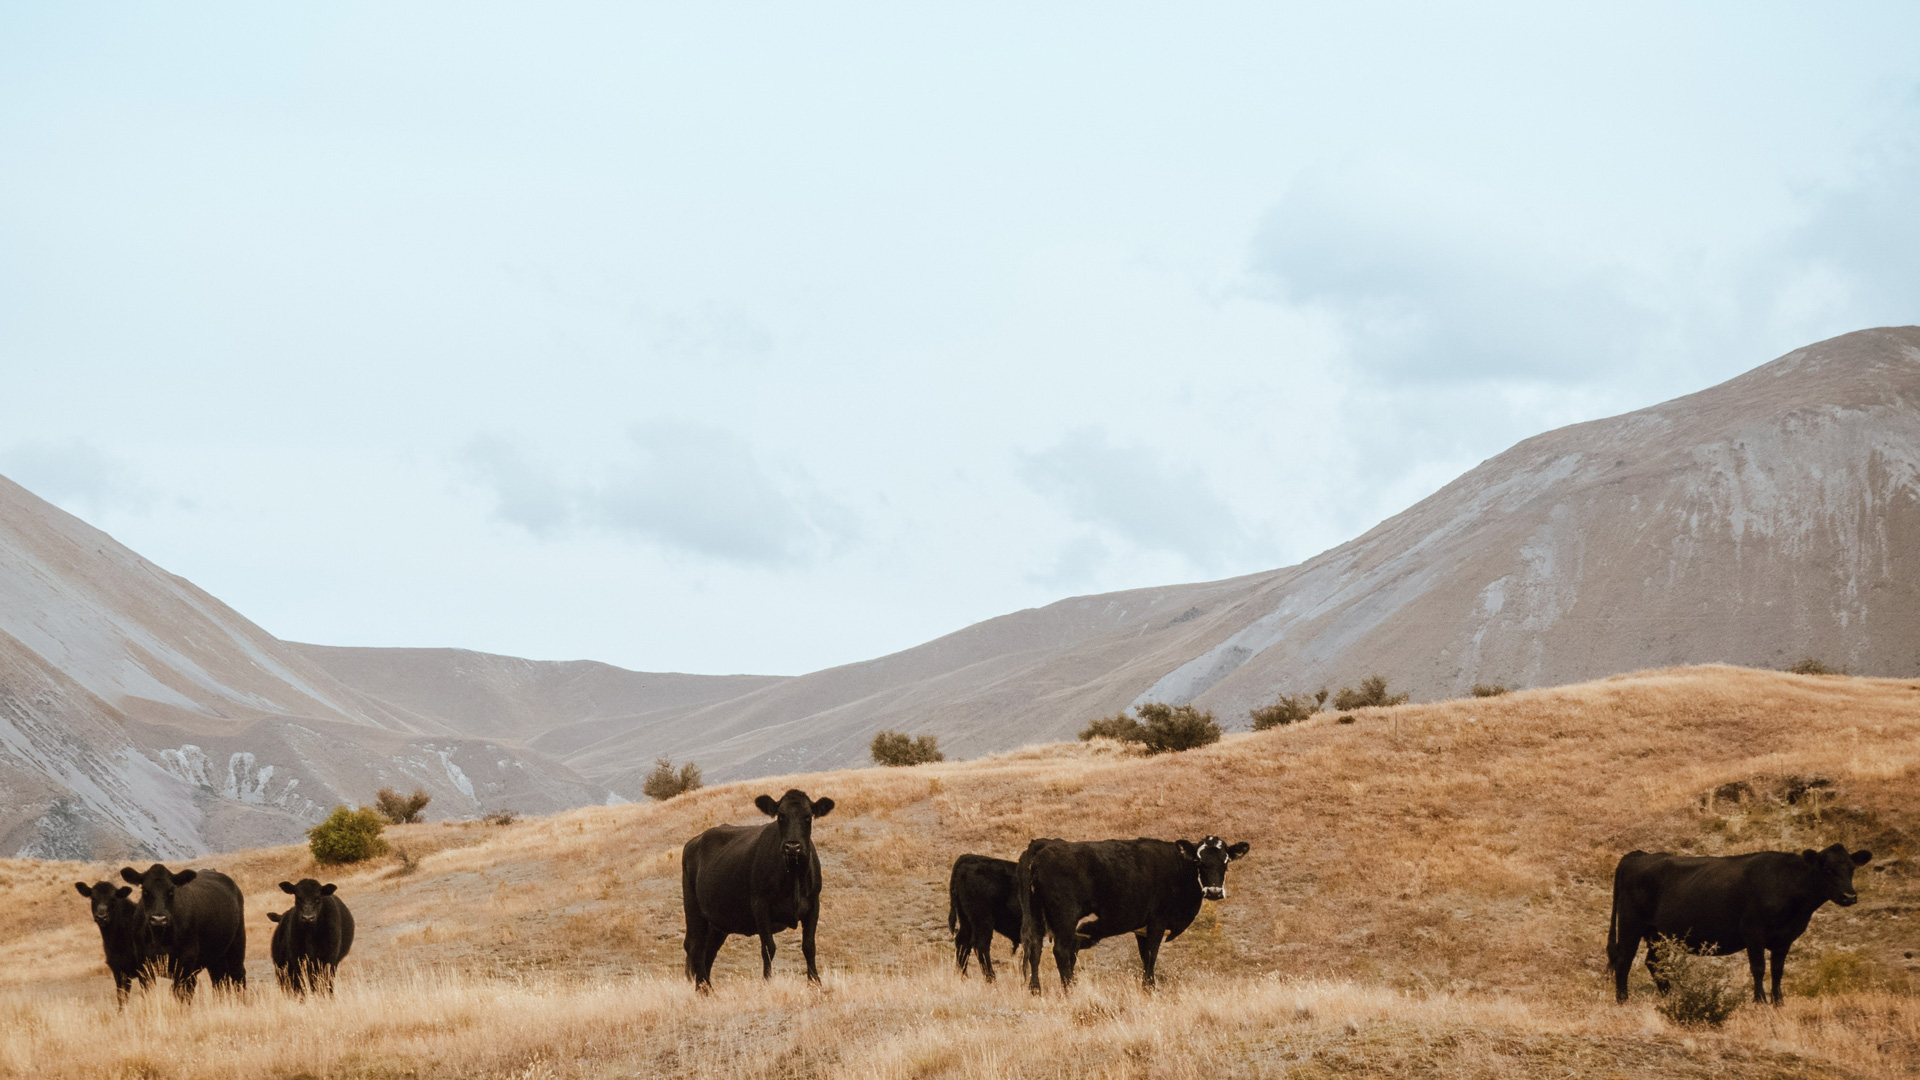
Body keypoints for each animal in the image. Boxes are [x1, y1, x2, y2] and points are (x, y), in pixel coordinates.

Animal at [119, 857, 247, 999]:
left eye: (171, 890)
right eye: (145, 891)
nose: (159, 919)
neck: (159, 937)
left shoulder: (187, 959)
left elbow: (180, 993)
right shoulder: (143, 962)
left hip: (237, 944)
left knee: (238, 975)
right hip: (216, 956)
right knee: (220, 980)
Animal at [687, 787, 837, 991]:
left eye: (808, 816)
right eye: (781, 816)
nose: (792, 847)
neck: (793, 877)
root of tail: (694, 841)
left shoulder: (813, 904)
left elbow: (809, 946)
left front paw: (815, 982)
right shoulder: (760, 905)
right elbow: (768, 947)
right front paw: (767, 982)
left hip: (717, 923)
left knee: (707, 952)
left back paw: (707, 990)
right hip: (694, 910)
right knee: (695, 948)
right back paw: (703, 990)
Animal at [1013, 834, 1251, 991]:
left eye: (1226, 862)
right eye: (1199, 861)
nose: (1214, 891)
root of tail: (1045, 843)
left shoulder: (1141, 928)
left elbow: (1144, 957)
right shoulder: (1157, 922)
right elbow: (1151, 956)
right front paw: (1150, 988)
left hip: (1036, 919)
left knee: (1034, 950)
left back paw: (1035, 990)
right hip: (1065, 920)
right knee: (1061, 952)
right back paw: (1070, 990)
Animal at [1605, 841, 1873, 999]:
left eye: (1851, 869)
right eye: (1827, 869)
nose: (1850, 896)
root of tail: (1638, 855)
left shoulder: (1785, 938)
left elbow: (1778, 970)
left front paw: (1778, 1001)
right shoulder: (1753, 932)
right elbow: (1758, 968)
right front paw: (1760, 1000)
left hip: (1656, 932)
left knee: (1654, 962)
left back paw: (1670, 995)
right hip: (1630, 924)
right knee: (1624, 959)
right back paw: (1623, 999)